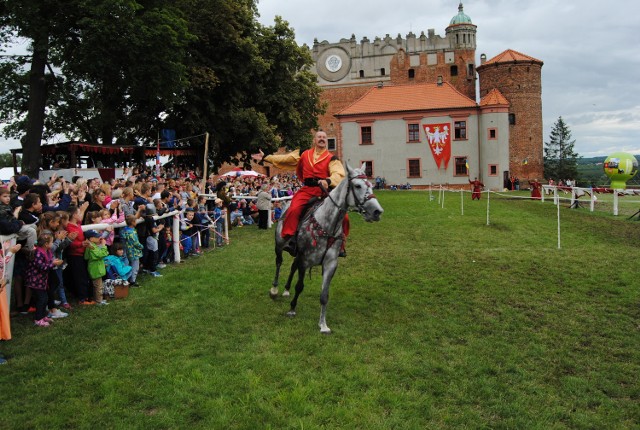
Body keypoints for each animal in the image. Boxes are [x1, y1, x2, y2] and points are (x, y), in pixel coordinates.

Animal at [268, 163, 382, 334]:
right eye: (357, 185)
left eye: (371, 185)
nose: (377, 212)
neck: (327, 224)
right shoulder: (305, 260)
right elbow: (300, 286)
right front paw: (292, 309)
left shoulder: (330, 264)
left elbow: (324, 295)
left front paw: (323, 324)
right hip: (280, 245)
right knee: (279, 262)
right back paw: (274, 290)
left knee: (292, 266)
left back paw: (286, 289)